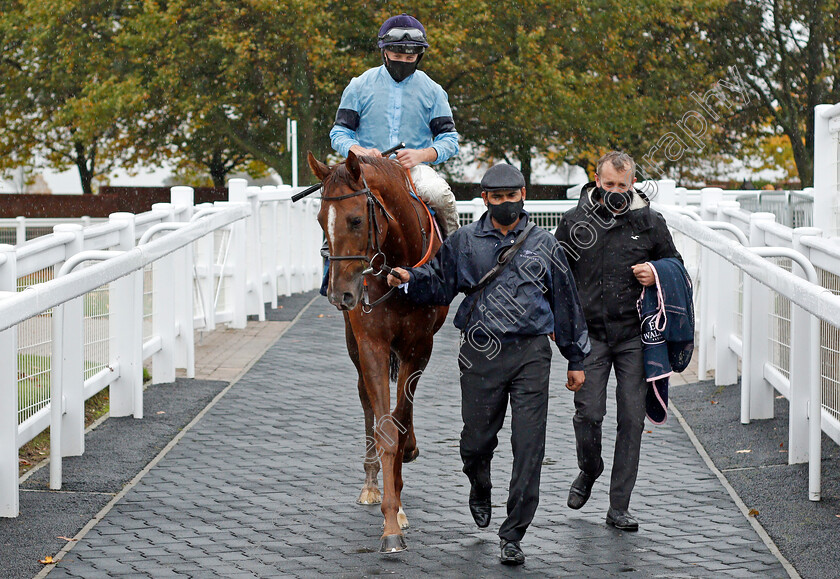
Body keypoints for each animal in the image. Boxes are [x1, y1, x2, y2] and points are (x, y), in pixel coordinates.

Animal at [308, 152, 450, 556]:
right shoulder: (370, 342)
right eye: (321, 220)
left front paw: (398, 505)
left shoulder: (419, 345)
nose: (340, 294)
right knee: (366, 400)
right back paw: (372, 482)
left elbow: (401, 418)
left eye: (356, 219)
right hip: (353, 342)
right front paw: (390, 521)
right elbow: (385, 424)